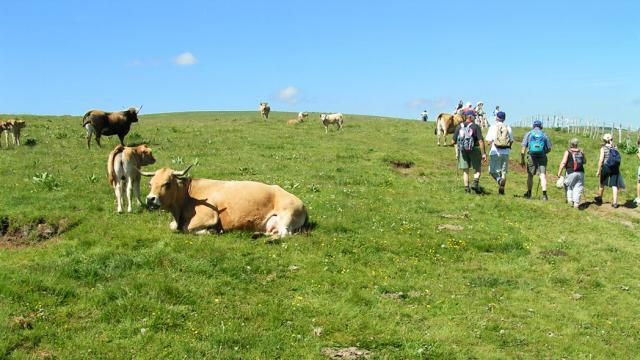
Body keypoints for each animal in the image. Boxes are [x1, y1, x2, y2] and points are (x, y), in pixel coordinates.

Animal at [142, 165, 308, 238]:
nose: (150, 199)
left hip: (287, 215)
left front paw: (212, 230)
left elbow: (187, 228)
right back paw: (257, 234)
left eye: (167, 183)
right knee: (275, 231)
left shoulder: (208, 216)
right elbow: (172, 227)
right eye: (150, 183)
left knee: (284, 233)